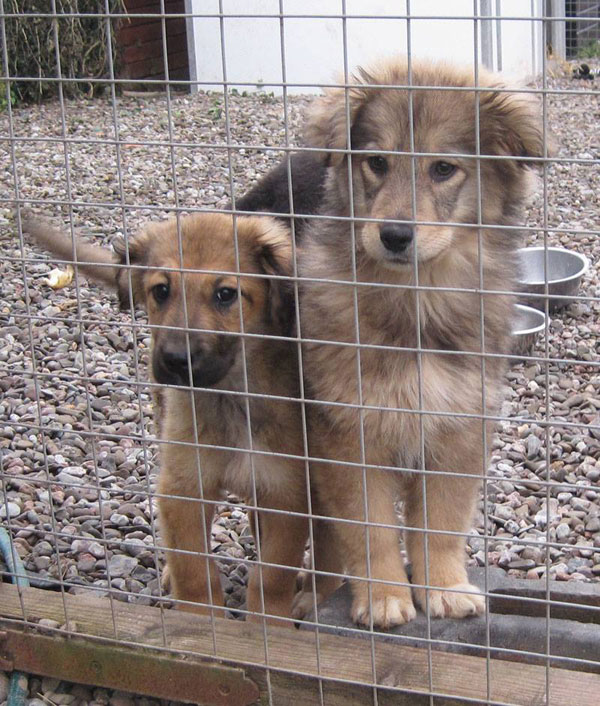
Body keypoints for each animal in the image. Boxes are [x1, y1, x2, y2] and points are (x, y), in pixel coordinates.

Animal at [22, 210, 310, 620]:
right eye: (161, 290)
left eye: (226, 294)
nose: (174, 360)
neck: (229, 396)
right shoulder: (183, 487)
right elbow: (194, 570)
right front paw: (201, 623)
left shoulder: (287, 492)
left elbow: (271, 578)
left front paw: (268, 624)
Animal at [296, 56, 548, 628]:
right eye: (377, 163)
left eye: (442, 169)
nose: (393, 235)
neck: (417, 303)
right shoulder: (349, 432)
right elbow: (368, 526)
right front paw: (385, 596)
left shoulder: (459, 425)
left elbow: (443, 518)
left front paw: (444, 588)